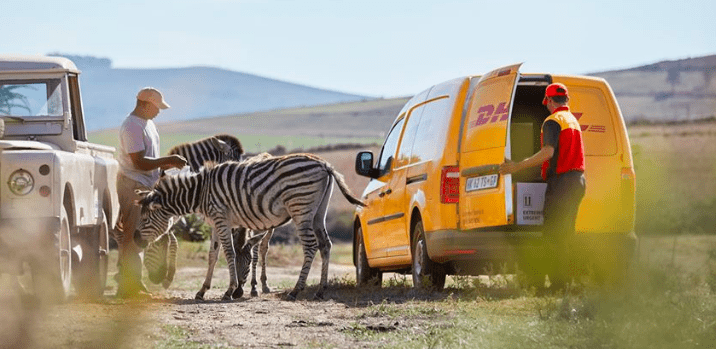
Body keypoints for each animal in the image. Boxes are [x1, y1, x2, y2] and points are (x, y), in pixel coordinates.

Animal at [134, 154, 366, 300]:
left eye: (145, 219)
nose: (135, 239)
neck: (201, 192)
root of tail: (324, 164)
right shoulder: (215, 222)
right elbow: (212, 255)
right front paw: (202, 290)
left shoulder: (221, 219)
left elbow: (229, 252)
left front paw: (230, 291)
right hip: (318, 212)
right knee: (325, 245)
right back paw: (320, 290)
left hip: (300, 209)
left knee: (310, 246)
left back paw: (295, 290)